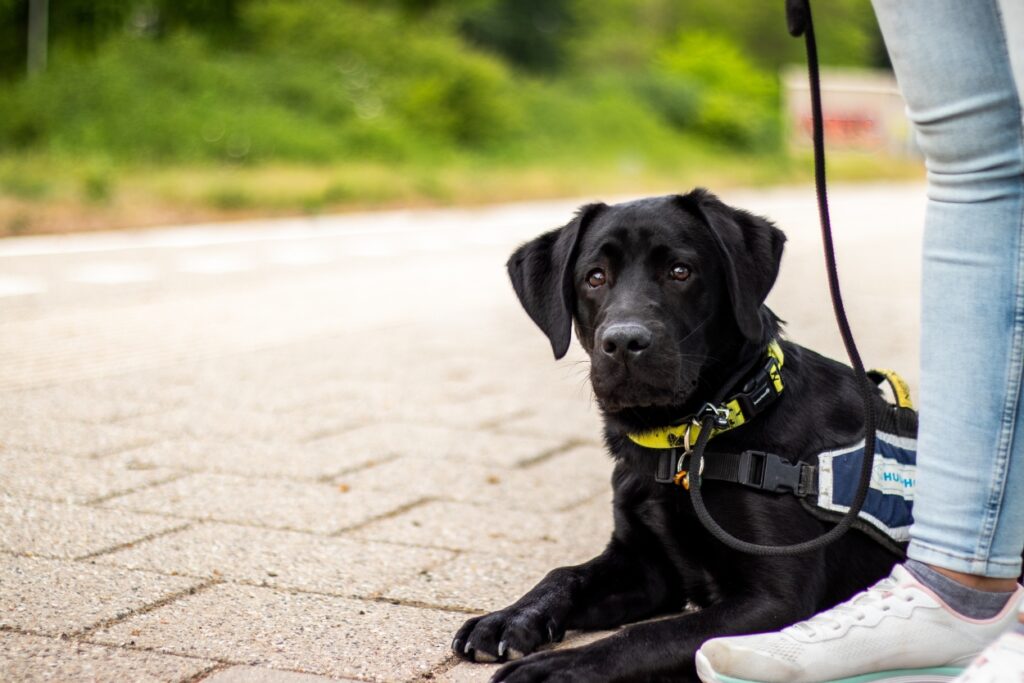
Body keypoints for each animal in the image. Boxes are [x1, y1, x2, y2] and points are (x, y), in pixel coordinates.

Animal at [452, 191, 901, 683]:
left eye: (680, 271)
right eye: (595, 277)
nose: (624, 342)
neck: (686, 441)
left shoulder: (777, 600)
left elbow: (648, 636)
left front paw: (556, 667)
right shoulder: (646, 568)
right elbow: (564, 574)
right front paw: (510, 617)